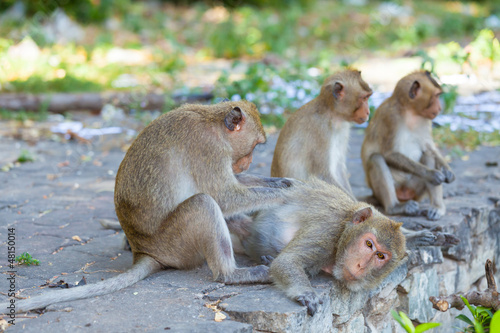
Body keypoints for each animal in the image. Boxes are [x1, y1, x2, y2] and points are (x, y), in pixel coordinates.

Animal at [0, 100, 296, 312]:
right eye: (255, 146)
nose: (248, 162)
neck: (212, 123)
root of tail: (144, 251)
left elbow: (233, 186)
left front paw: (284, 182)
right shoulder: (208, 148)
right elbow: (224, 196)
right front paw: (289, 195)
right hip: (176, 244)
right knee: (204, 203)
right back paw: (232, 275)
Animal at [272, 68, 374, 197]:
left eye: (368, 97)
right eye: (364, 98)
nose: (368, 112)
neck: (331, 114)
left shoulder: (343, 128)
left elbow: (339, 168)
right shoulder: (319, 130)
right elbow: (322, 175)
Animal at [362, 70, 456, 220]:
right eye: (436, 96)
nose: (440, 108)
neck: (411, 112)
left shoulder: (426, 120)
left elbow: (429, 147)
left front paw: (447, 170)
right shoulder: (390, 117)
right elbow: (389, 153)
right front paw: (432, 174)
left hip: (416, 191)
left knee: (428, 155)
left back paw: (437, 208)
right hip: (387, 191)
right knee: (376, 158)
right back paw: (395, 207)